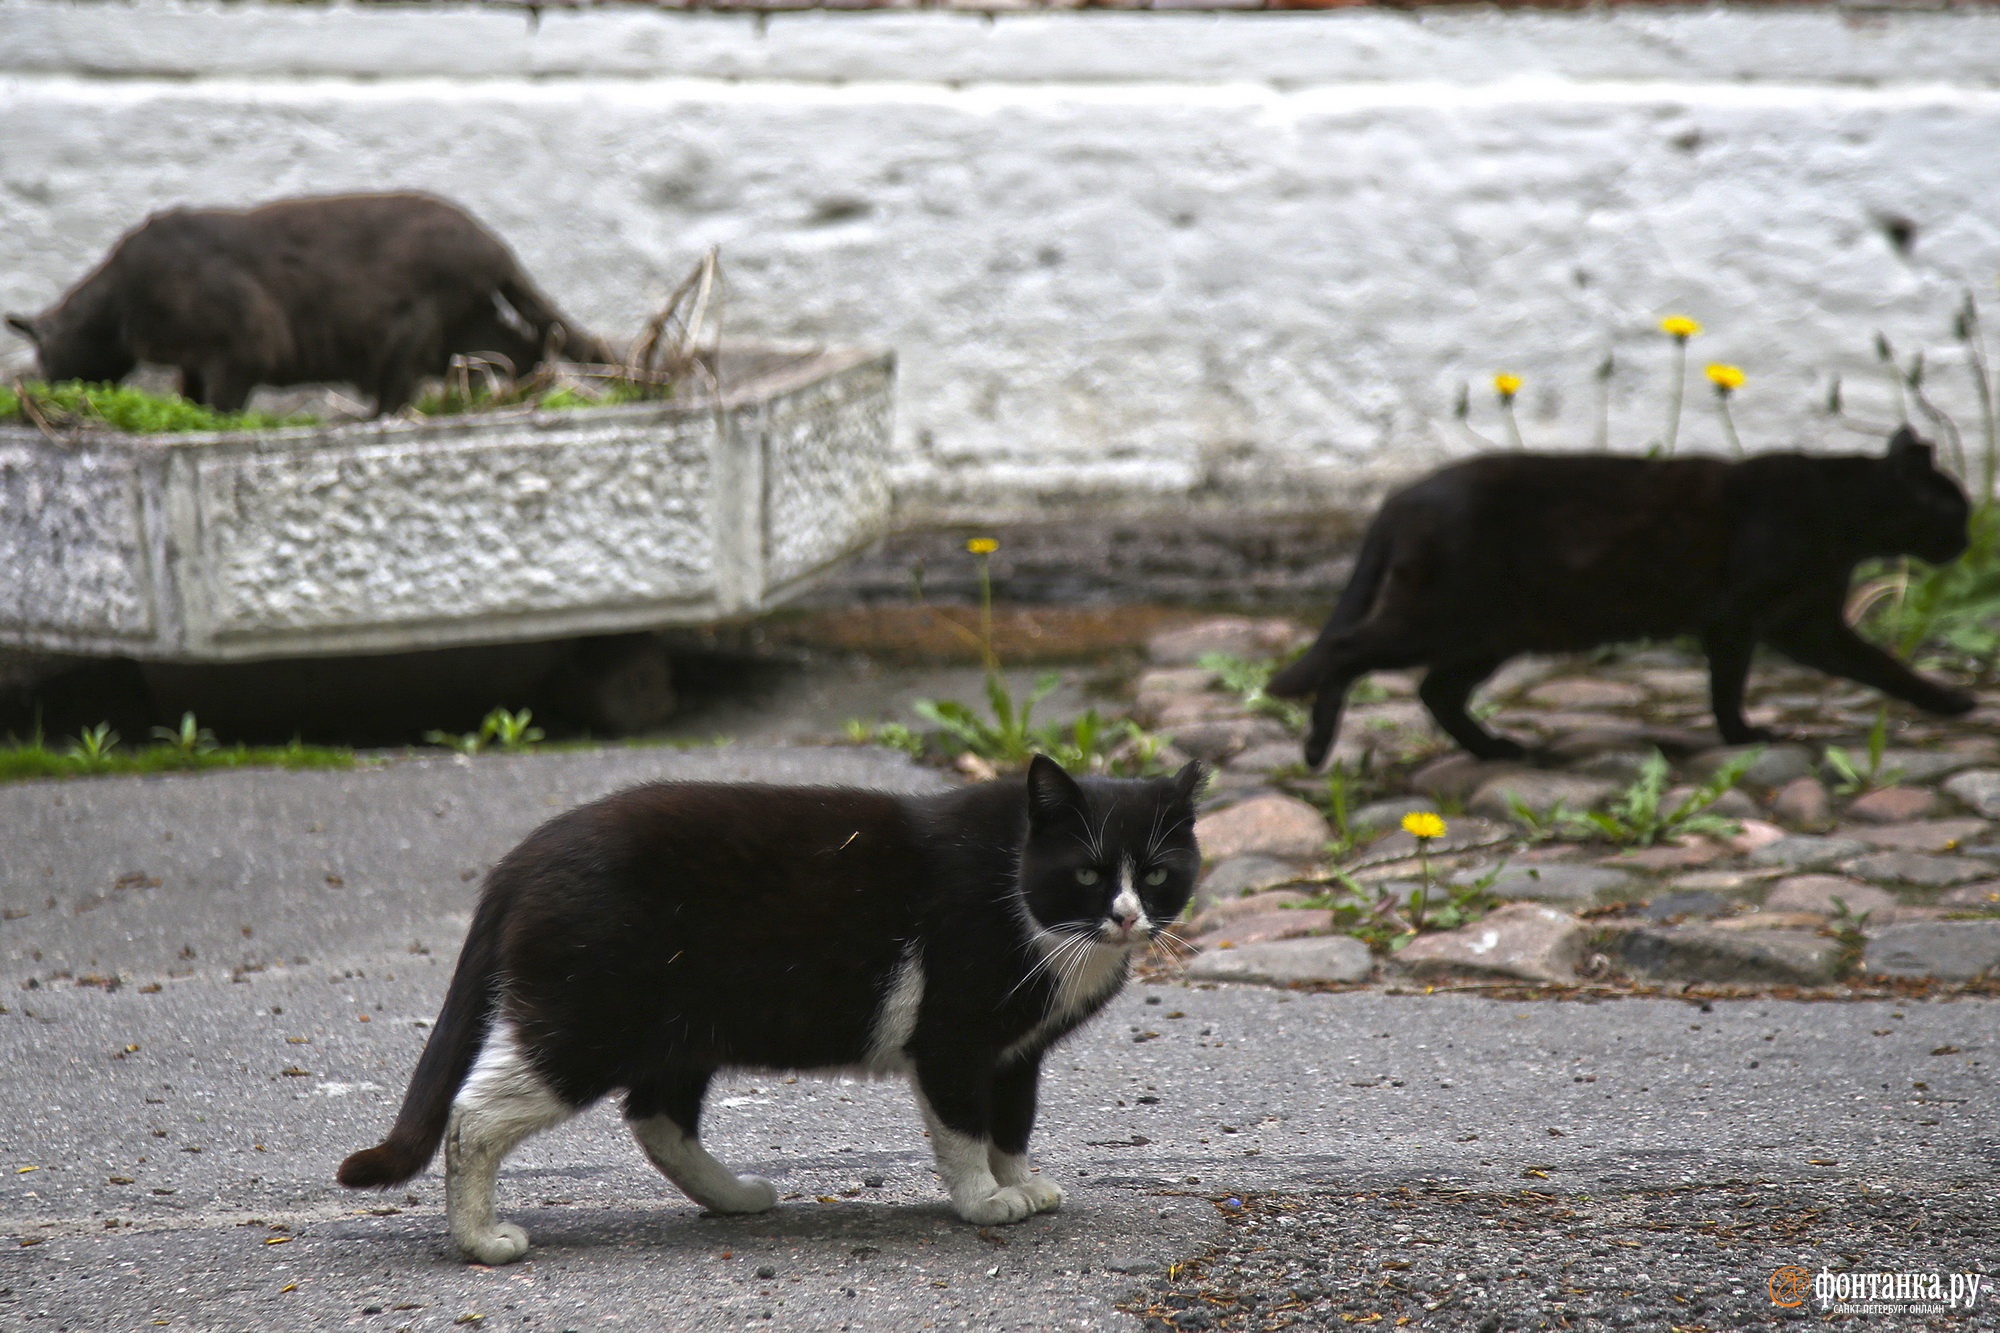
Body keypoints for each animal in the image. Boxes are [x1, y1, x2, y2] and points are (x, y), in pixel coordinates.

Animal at [340, 752, 1200, 1264]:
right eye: (1088, 872)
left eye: (1158, 873)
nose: (1127, 915)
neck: (1026, 896)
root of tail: (520, 859)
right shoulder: (953, 1039)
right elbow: (963, 1129)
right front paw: (985, 1201)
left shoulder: (1016, 1053)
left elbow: (1012, 1123)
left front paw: (1020, 1180)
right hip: (589, 1016)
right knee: (476, 1113)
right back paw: (481, 1238)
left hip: (681, 1029)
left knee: (656, 1116)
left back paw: (736, 1197)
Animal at [1264, 430, 1968, 764]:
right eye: (1954, 507)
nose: (1966, 540)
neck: (1841, 506)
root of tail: (1400, 497)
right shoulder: (1781, 619)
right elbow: (1872, 664)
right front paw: (1951, 700)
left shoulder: (1760, 623)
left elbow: (1737, 682)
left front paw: (1739, 735)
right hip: (1442, 616)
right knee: (1345, 652)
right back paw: (1317, 747)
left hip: (1493, 632)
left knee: (1434, 690)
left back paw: (1499, 751)